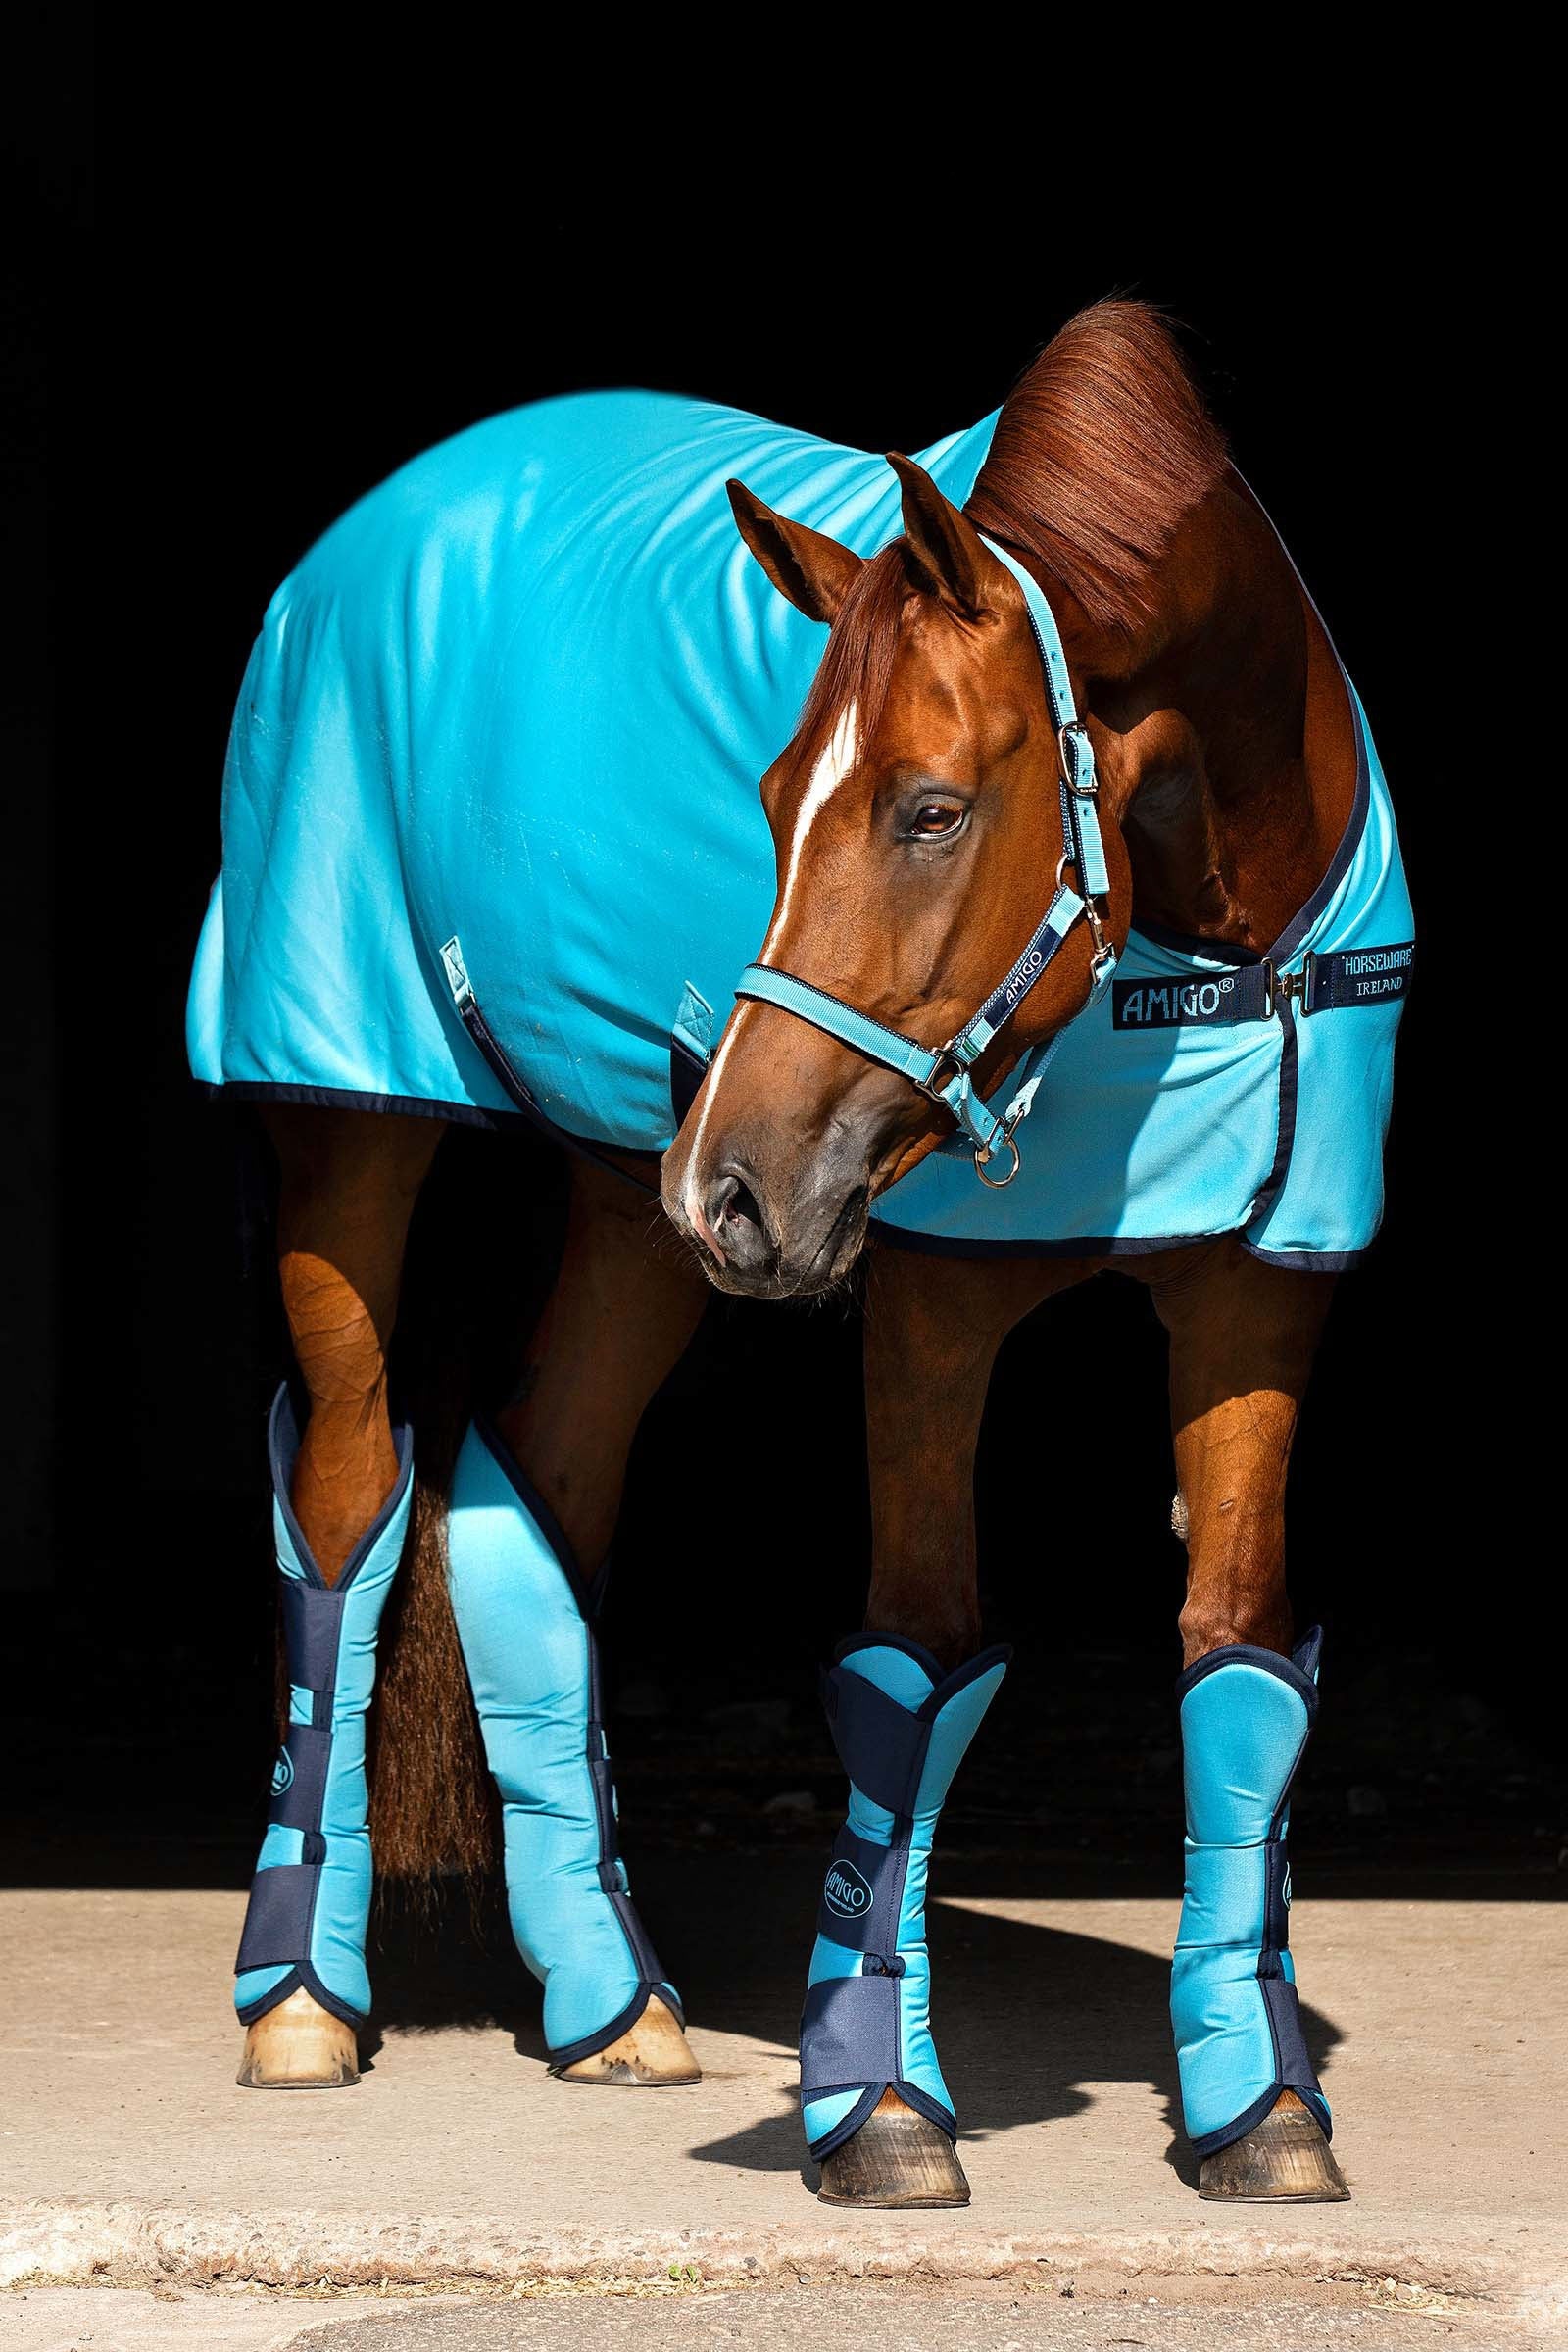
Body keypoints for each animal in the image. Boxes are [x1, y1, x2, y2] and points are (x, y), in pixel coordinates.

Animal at [189, 300, 1411, 2210]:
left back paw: (613, 2003)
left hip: (626, 1201)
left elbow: (1239, 1663)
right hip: (353, 1117)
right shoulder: (931, 1305)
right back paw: (301, 2000)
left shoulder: (1263, 1285)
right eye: (767, 796)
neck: (1222, 953)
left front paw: (1258, 2105)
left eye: (928, 809)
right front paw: (879, 2105)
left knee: (533, 1495)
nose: (739, 1191)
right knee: (344, 1504)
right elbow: (914, 1663)